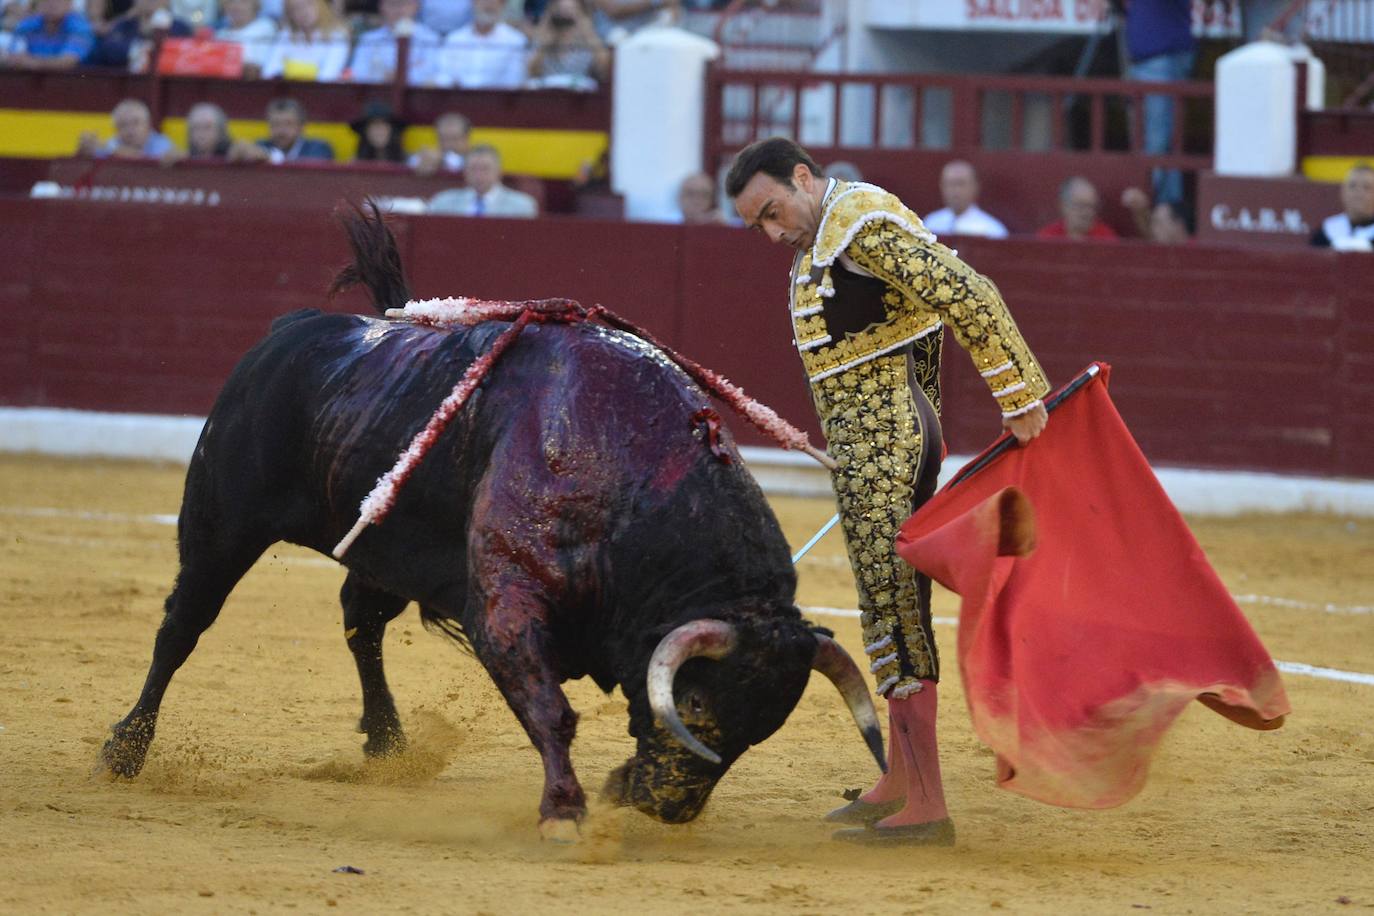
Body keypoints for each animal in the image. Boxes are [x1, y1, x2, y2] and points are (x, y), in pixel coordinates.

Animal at [101, 207, 884, 840]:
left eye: (760, 730)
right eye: (693, 701)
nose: (668, 807)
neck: (629, 483)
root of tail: (288, 329)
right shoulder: (506, 606)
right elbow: (550, 709)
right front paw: (564, 812)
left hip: (385, 550)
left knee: (360, 622)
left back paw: (388, 743)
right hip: (220, 523)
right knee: (182, 626)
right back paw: (125, 749)